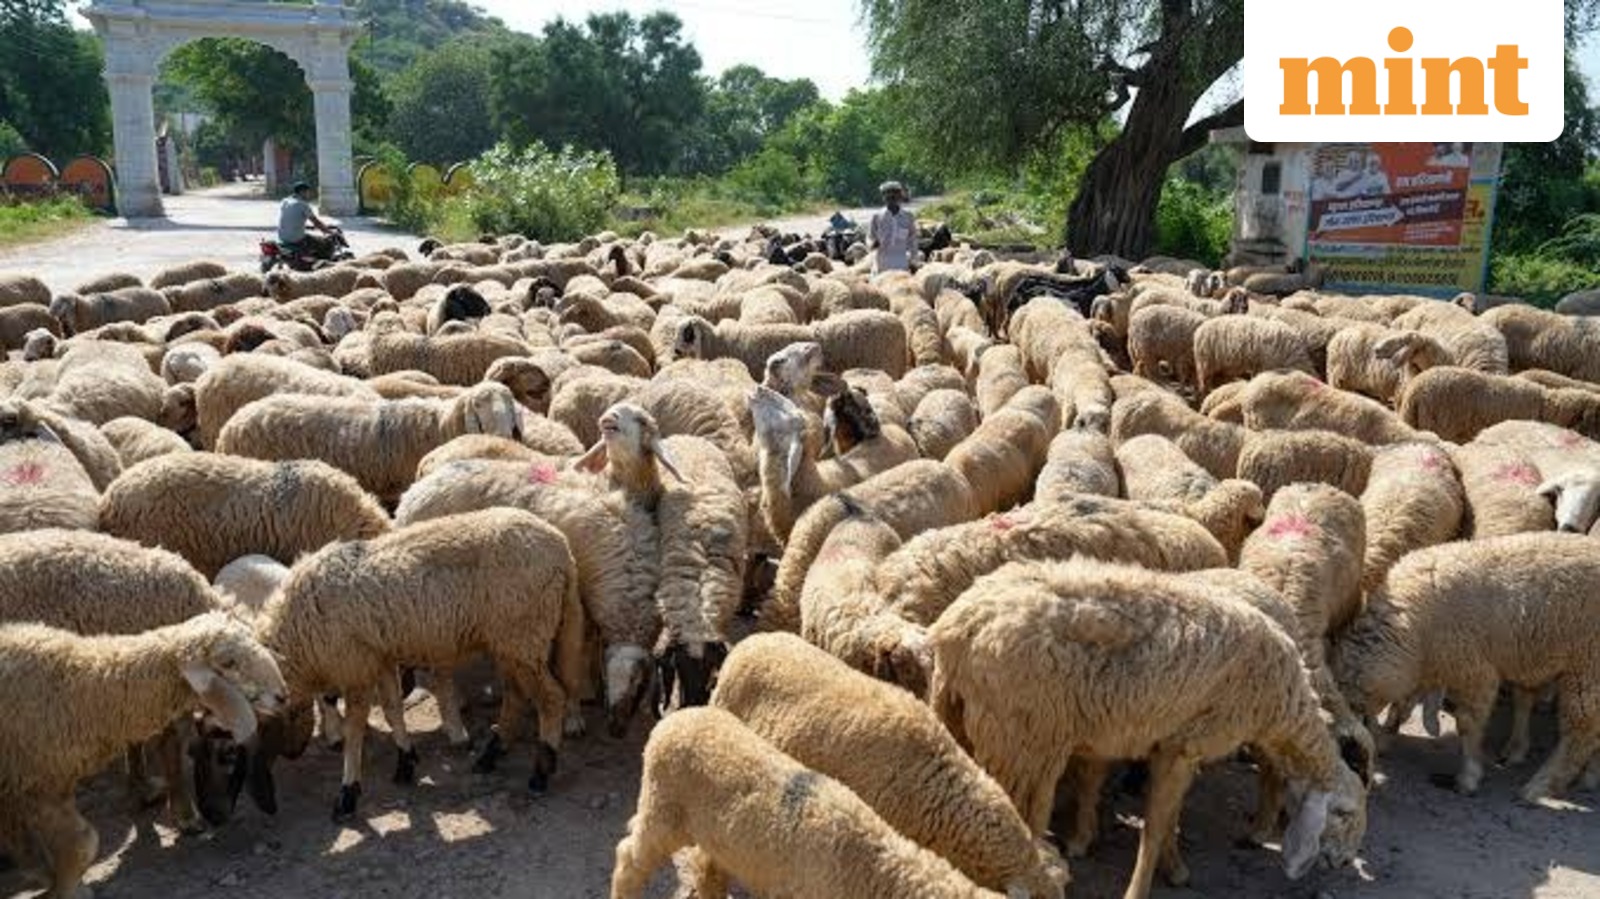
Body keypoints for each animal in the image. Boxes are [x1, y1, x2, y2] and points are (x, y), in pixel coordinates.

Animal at [0, 614, 284, 899]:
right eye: (228, 662)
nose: (282, 695)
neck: (82, 690)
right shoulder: (37, 781)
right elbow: (84, 843)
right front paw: (64, 890)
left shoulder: (32, 783)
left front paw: (46, 874)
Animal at [255, 508, 585, 818]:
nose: (294, 753)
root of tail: (562, 549)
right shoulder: (381, 657)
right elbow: (393, 711)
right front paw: (405, 762)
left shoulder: (356, 667)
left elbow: (355, 732)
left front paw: (348, 794)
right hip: (510, 640)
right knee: (516, 694)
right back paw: (491, 755)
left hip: (524, 632)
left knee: (551, 698)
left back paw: (540, 772)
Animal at [928, 559, 1367, 899]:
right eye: (1344, 814)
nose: (1343, 862)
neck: (1279, 697)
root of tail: (958, 627)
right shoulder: (1187, 744)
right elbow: (1155, 827)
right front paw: (1142, 886)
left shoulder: (1170, 745)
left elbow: (1170, 815)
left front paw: (1174, 867)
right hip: (1021, 737)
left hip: (957, 715)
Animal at [1332, 533, 1600, 800]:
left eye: (1356, 703)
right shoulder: (1431, 667)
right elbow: (1404, 706)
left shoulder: (1476, 671)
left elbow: (1467, 724)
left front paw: (1469, 776)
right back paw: (1589, 775)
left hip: (1587, 664)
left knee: (1581, 728)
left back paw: (1541, 785)